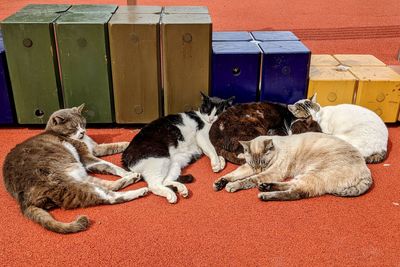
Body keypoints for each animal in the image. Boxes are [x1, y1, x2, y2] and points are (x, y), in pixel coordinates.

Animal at [3, 104, 147, 234]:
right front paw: (125, 171)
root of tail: (23, 201)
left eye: (83, 124)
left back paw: (133, 177)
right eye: (73, 127)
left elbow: (116, 145)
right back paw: (140, 190)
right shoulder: (87, 158)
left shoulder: (96, 149)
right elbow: (110, 165)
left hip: (79, 176)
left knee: (109, 186)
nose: (83, 132)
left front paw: (131, 144)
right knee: (108, 196)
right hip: (65, 183)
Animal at [214, 133, 374, 202]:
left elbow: (247, 180)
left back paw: (265, 195)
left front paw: (232, 186)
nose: (259, 169)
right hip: (305, 175)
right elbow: (232, 174)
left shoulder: (271, 172)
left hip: (313, 174)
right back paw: (265, 187)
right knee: (291, 185)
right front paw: (220, 183)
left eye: (263, 163)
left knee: (296, 193)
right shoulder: (249, 168)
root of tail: (366, 171)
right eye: (254, 164)